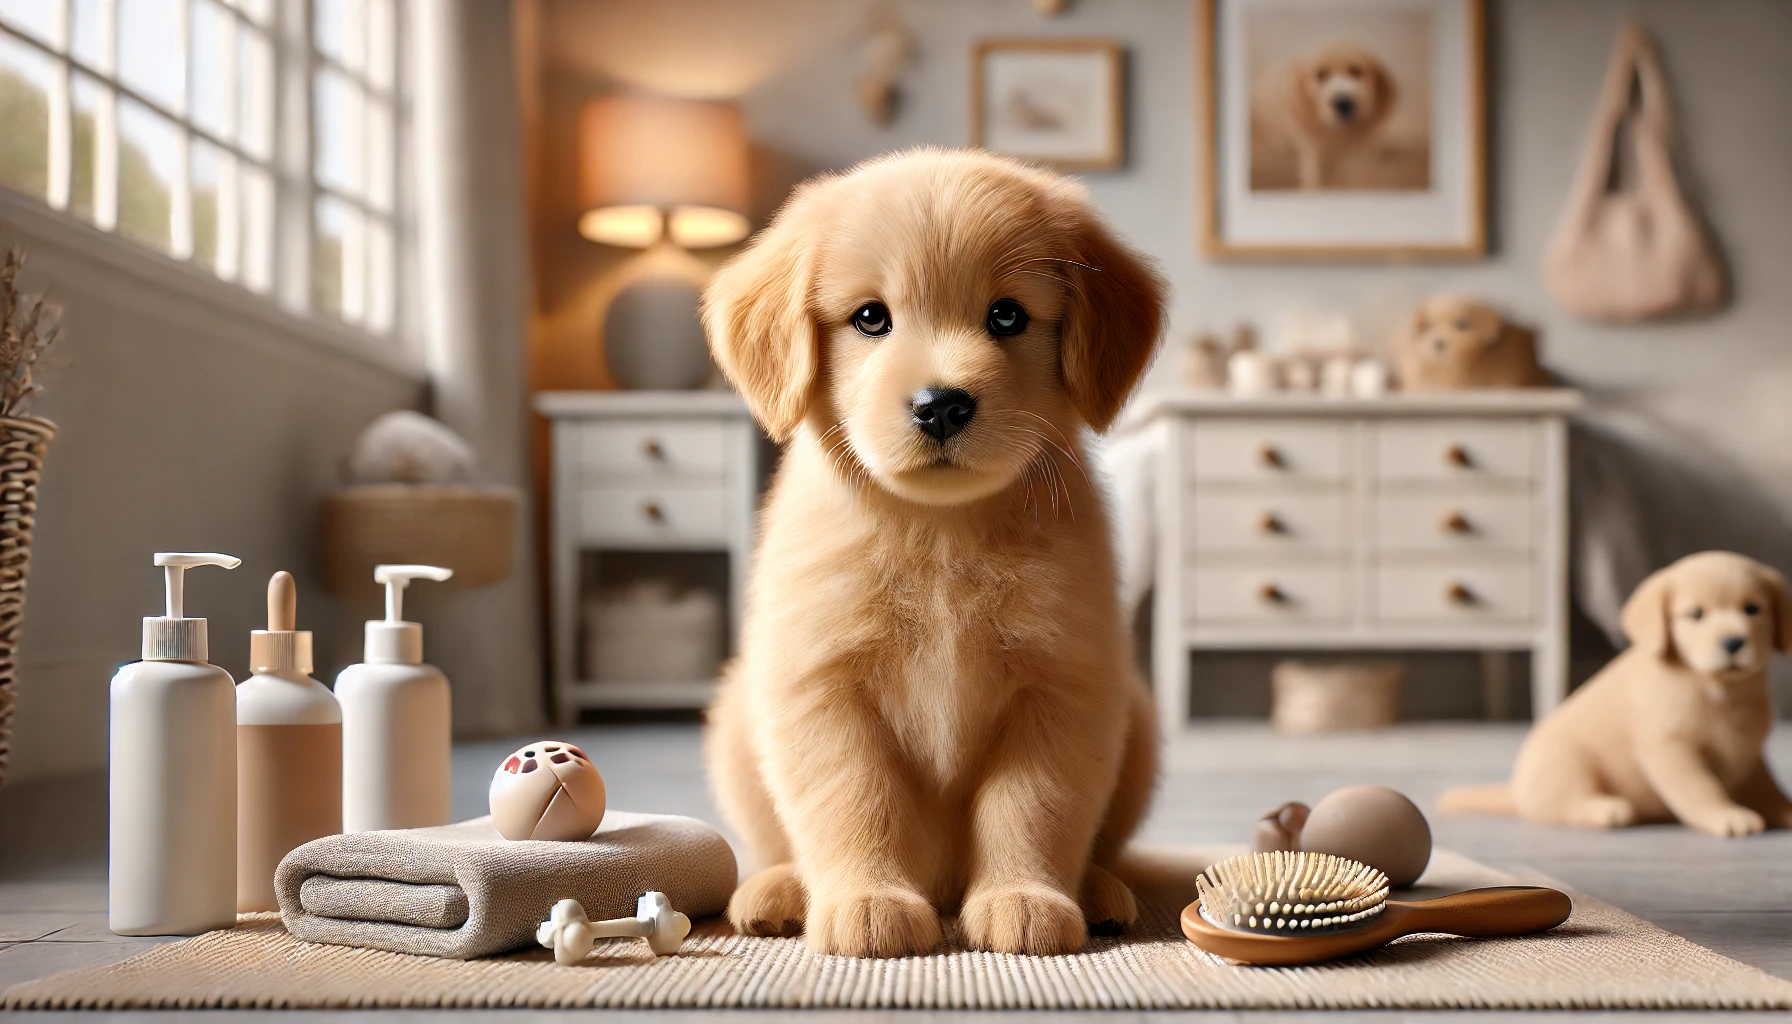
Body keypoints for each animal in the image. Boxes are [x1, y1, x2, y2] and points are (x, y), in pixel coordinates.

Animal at [698, 147, 1175, 961]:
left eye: (1007, 315)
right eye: (870, 317)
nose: (941, 405)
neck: (939, 532)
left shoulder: (1062, 684)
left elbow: (1031, 807)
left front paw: (1023, 896)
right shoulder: (822, 686)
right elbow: (855, 799)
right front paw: (867, 900)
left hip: (1134, 719)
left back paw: (1099, 890)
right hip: (738, 714)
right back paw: (780, 890)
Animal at [1254, 40, 1390, 190]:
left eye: (1356, 71)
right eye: (1320, 74)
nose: (1343, 103)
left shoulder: (1359, 155)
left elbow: (1359, 175)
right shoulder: (1313, 150)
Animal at [1440, 555, 1792, 835]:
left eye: (1753, 609)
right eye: (1695, 614)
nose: (1733, 642)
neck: (1720, 689)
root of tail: (1516, 790)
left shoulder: (1750, 753)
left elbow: (1768, 788)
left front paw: (1784, 810)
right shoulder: (1669, 747)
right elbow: (1699, 787)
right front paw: (1725, 814)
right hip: (1566, 761)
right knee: (1563, 806)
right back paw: (1606, 809)